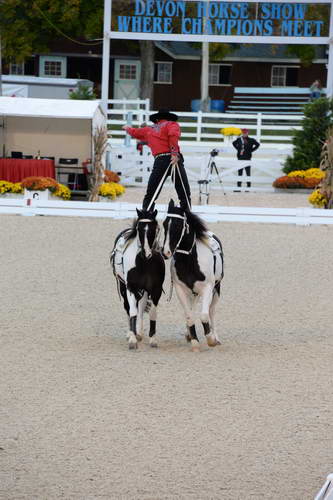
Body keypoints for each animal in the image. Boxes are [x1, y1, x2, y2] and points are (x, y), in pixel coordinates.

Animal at [110, 209, 165, 350]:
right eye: (139, 229)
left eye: (154, 229)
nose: (146, 253)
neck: (144, 263)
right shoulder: (131, 288)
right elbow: (132, 311)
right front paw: (132, 340)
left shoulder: (155, 290)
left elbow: (152, 313)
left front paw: (152, 340)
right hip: (123, 287)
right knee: (128, 308)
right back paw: (131, 333)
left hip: (144, 291)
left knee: (141, 307)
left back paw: (139, 333)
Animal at [161, 199, 223, 352]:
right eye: (164, 224)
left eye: (178, 225)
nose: (165, 252)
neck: (190, 260)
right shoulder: (180, 289)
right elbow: (189, 316)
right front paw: (194, 341)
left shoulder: (207, 288)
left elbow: (204, 315)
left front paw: (211, 340)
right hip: (192, 293)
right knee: (191, 309)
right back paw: (189, 334)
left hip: (216, 289)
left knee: (212, 311)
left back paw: (216, 337)